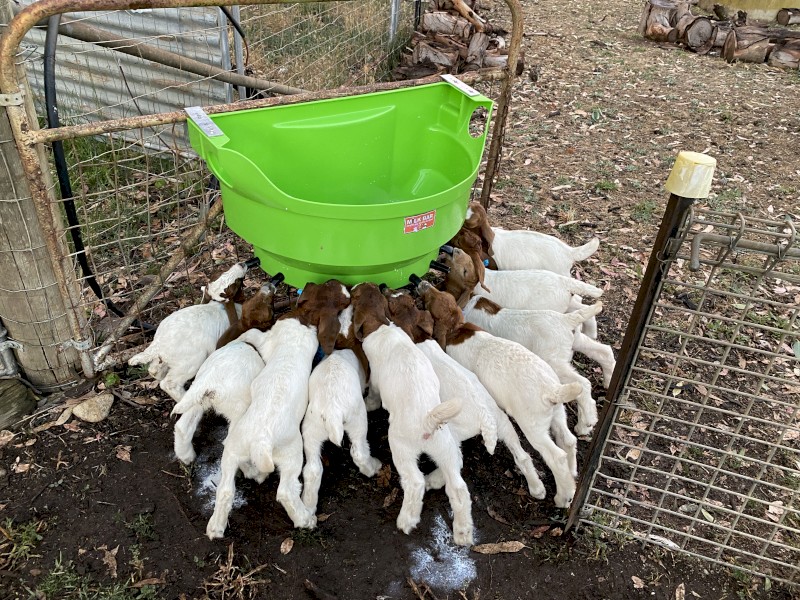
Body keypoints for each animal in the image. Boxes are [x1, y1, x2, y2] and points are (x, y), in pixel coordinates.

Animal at [351, 282, 474, 546]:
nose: (383, 284)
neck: (382, 325)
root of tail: (428, 420)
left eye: (355, 296)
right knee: (458, 488)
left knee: (415, 482)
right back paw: (463, 531)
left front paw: (369, 403)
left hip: (401, 450)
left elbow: (373, 394)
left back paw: (407, 520)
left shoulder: (376, 381)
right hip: (446, 451)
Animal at [418, 281, 581, 507]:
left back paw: (563, 496)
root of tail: (552, 390)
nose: (421, 283)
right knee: (568, 440)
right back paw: (573, 476)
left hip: (534, 428)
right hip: (557, 413)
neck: (457, 329)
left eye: (429, 301)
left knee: (556, 456)